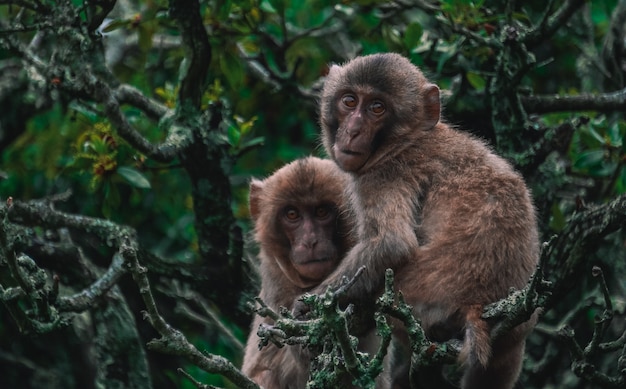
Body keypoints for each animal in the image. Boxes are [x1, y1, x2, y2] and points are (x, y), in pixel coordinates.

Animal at [294, 53, 540, 388]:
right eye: (349, 101)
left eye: (377, 108)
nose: (353, 130)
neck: (409, 139)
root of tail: (478, 303)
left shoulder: (383, 175)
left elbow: (391, 244)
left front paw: (305, 308)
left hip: (417, 298)